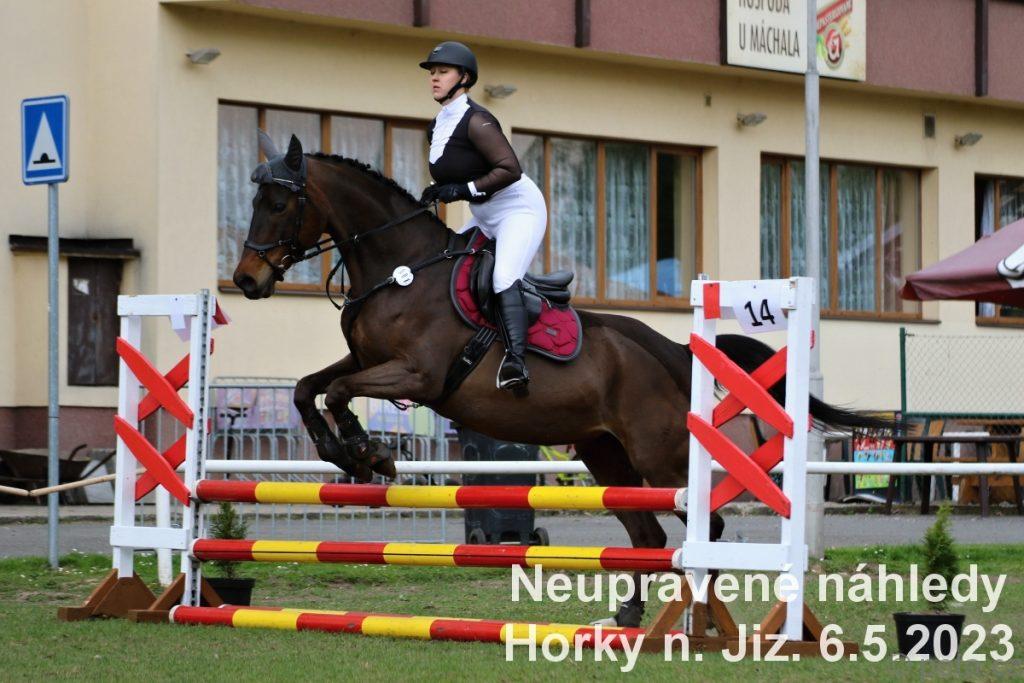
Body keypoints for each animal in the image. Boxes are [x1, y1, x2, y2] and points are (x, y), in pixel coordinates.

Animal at [232, 134, 884, 626]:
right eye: (256, 200)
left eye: (280, 204)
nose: (246, 280)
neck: (400, 270)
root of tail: (672, 349)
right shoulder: (363, 359)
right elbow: (309, 387)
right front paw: (341, 450)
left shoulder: (418, 376)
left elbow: (340, 393)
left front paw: (369, 455)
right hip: (605, 455)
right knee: (646, 534)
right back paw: (629, 616)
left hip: (659, 459)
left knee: (708, 524)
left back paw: (694, 614)